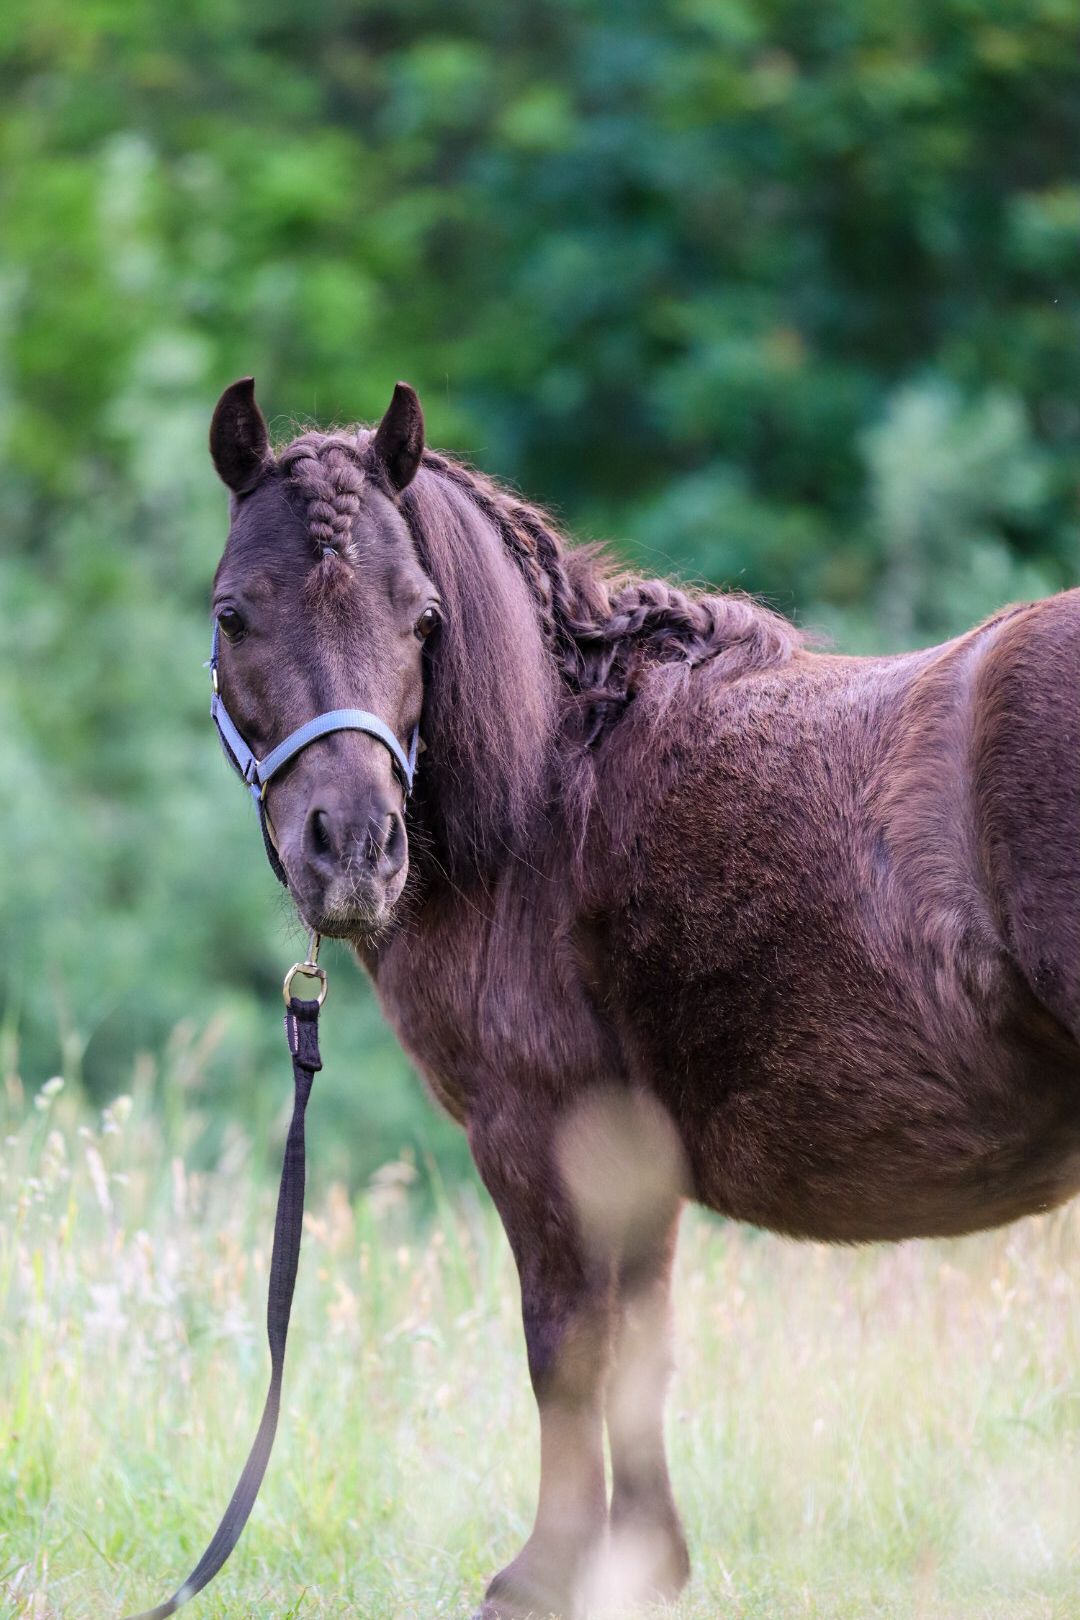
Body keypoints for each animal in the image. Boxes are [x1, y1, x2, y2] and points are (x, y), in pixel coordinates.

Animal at [207, 375, 1080, 1618]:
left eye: (422, 620)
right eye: (237, 614)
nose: (355, 851)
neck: (547, 792)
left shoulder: (537, 1133)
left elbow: (566, 1346)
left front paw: (547, 1574)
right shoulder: (635, 1159)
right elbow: (640, 1351)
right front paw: (645, 1563)